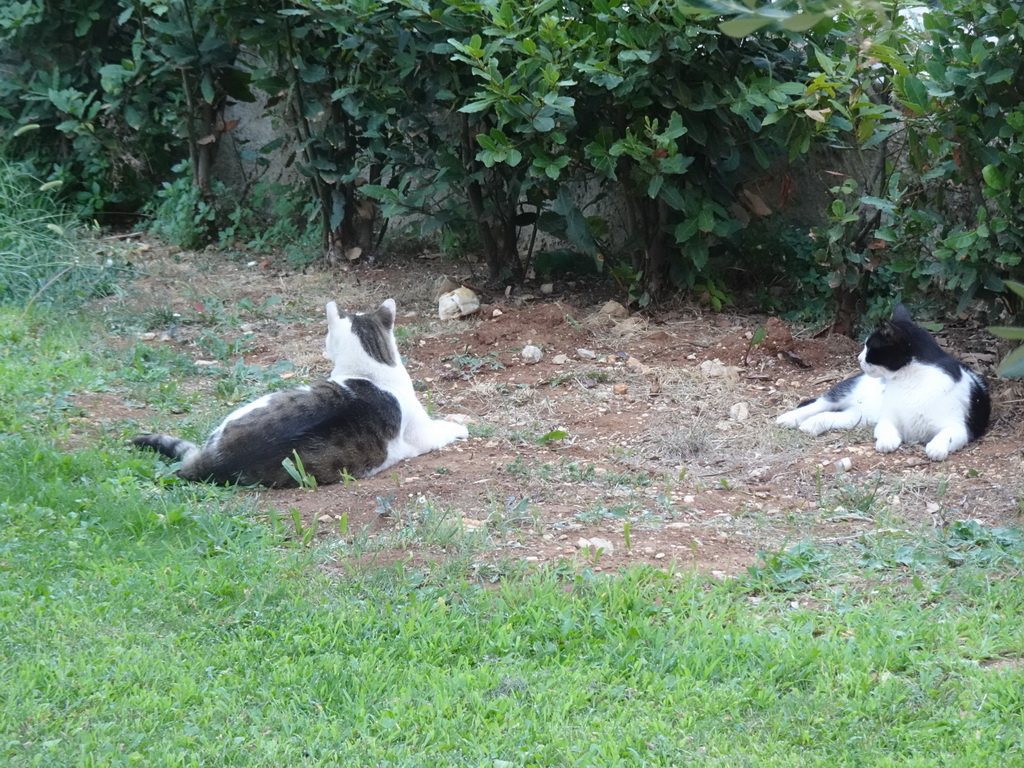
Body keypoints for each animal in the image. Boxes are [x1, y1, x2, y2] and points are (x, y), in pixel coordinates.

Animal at [774, 305, 991, 462]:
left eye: (870, 348)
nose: (858, 358)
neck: (908, 380)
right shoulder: (888, 418)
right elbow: (886, 429)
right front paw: (887, 441)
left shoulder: (961, 427)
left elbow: (947, 435)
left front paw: (936, 448)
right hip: (848, 391)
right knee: (820, 403)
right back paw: (789, 418)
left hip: (858, 416)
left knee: (831, 415)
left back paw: (811, 425)